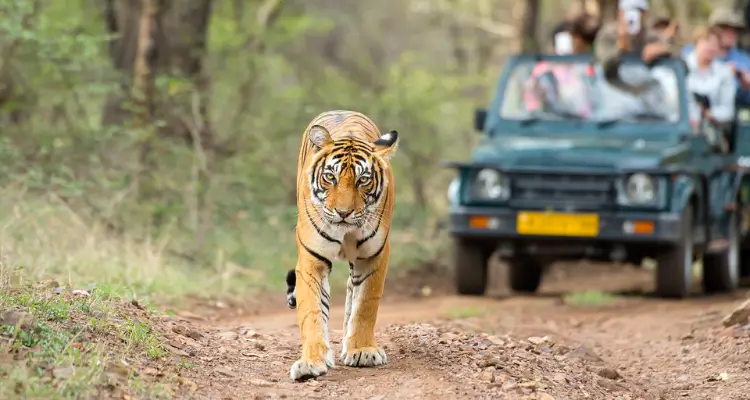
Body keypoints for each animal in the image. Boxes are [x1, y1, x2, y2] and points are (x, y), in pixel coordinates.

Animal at [284, 110, 399, 381]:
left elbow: (365, 304)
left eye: (363, 180)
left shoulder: (374, 256)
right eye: (330, 177)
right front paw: (311, 362)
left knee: (351, 291)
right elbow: (312, 312)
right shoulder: (311, 260)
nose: (343, 213)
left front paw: (362, 350)